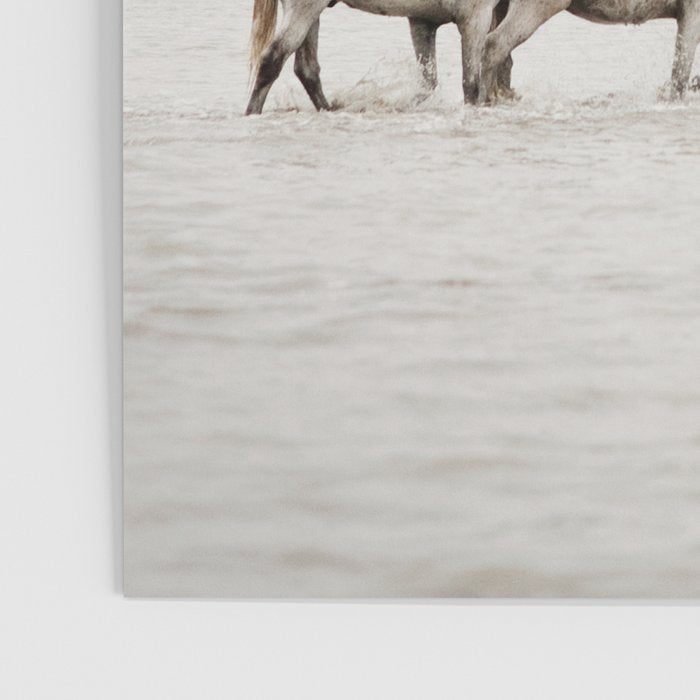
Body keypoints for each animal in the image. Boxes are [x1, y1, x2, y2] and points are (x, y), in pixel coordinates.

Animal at [245, 0, 513, 114]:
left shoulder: (424, 21)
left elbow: (428, 84)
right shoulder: (475, 17)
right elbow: (471, 85)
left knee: (306, 69)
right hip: (305, 8)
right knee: (272, 59)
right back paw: (251, 113)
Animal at [478, 0, 700, 101]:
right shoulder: (691, 12)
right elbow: (679, 77)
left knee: (503, 60)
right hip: (536, 8)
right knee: (494, 45)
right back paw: (486, 100)